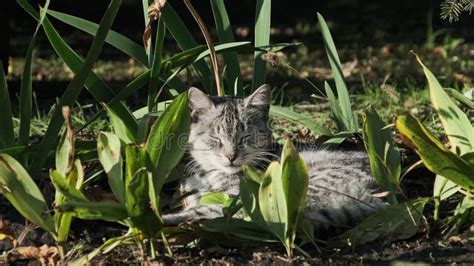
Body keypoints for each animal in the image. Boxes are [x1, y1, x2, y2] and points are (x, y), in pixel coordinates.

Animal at [162, 84, 386, 231]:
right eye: (215, 137)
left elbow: (203, 210)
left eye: (246, 136)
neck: (207, 175)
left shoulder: (235, 198)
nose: (231, 156)